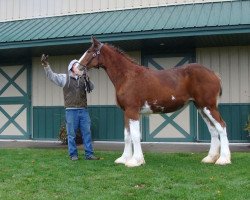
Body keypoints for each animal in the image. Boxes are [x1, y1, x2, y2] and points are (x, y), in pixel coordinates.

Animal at [75, 37, 231, 167]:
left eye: (89, 51)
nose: (76, 68)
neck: (127, 76)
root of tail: (213, 74)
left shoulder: (132, 111)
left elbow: (135, 136)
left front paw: (135, 161)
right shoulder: (126, 112)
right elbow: (127, 136)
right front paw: (124, 158)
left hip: (209, 106)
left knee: (221, 126)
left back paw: (223, 159)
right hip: (201, 107)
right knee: (213, 129)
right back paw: (210, 158)